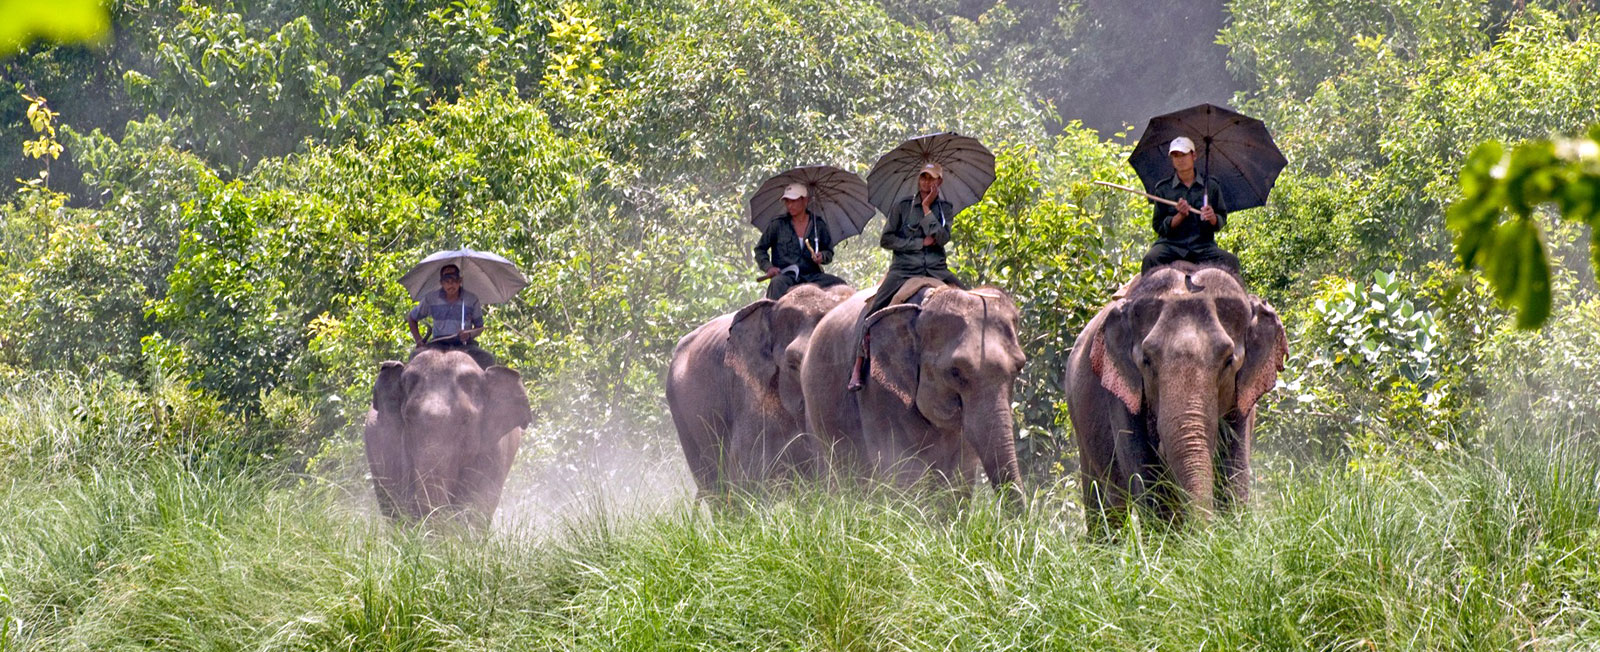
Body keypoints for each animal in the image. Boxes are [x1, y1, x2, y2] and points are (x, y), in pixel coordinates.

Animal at [1068, 260, 1292, 530]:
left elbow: (1235, 471)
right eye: (1146, 361)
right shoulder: (1120, 397)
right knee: (1105, 505)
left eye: (1229, 361)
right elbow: (1147, 479)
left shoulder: (1242, 399)